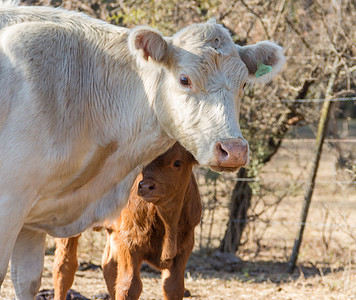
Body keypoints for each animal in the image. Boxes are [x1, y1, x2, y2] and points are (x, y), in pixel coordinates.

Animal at [54, 144, 202, 300]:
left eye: (177, 162)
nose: (146, 186)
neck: (168, 223)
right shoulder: (129, 244)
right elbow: (129, 287)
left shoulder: (184, 248)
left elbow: (173, 288)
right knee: (64, 268)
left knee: (109, 268)